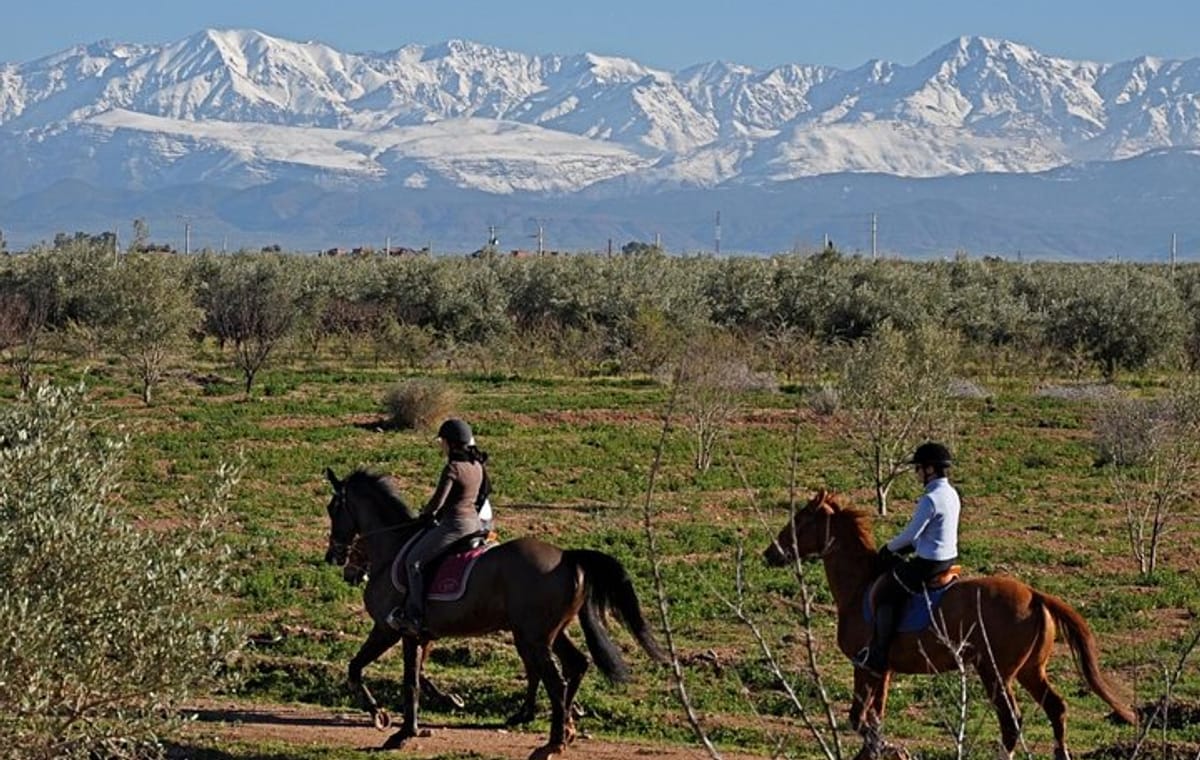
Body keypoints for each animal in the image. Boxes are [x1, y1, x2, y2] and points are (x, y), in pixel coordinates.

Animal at [322, 467, 668, 759]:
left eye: (333, 508)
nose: (335, 559)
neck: (392, 547)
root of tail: (568, 557)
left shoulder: (391, 630)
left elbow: (376, 673)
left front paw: (389, 723)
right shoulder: (419, 635)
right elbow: (416, 676)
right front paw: (436, 708)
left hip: (533, 637)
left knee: (555, 681)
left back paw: (551, 744)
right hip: (549, 633)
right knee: (576, 665)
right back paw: (565, 729)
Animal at [763, 490, 1135, 760]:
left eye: (800, 520)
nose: (770, 554)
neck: (860, 586)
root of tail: (1034, 595)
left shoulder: (865, 666)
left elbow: (860, 718)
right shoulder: (884, 670)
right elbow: (874, 719)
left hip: (996, 672)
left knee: (1011, 722)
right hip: (1031, 670)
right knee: (1056, 708)